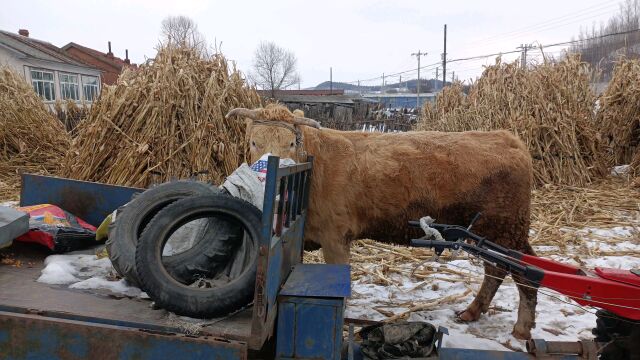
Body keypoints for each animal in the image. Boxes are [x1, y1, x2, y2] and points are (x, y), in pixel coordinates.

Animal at [228, 105, 536, 340]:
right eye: (253, 142)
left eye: (291, 143)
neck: (316, 165)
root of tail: (507, 138)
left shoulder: (335, 235)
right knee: (497, 270)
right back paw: (473, 312)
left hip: (505, 230)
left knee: (520, 272)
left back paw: (521, 328)